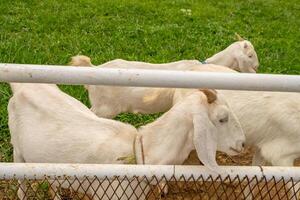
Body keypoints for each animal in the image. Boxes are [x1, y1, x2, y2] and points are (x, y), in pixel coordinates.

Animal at [8, 83, 245, 199]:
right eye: (222, 118)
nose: (242, 143)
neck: (141, 151)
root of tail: (23, 88)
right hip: (18, 153)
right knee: (21, 187)